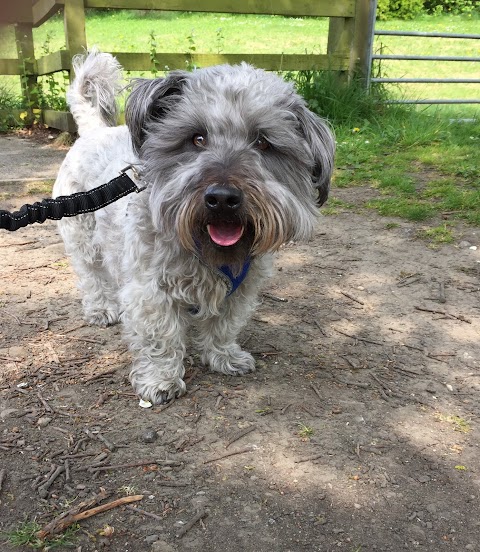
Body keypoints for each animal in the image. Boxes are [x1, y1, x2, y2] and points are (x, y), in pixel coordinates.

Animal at [52, 50, 334, 406]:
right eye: (197, 138)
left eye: (263, 142)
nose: (222, 198)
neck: (206, 251)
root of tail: (93, 132)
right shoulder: (149, 292)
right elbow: (159, 337)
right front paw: (160, 380)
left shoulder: (242, 288)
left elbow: (225, 325)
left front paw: (224, 357)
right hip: (84, 240)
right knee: (92, 277)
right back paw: (102, 308)